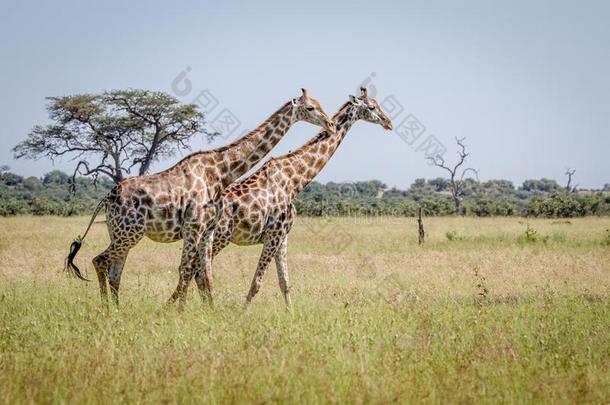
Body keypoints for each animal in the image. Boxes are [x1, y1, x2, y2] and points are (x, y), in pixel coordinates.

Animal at [64, 87, 334, 306]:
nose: (330, 125)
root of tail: (107, 198)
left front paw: (209, 313)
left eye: (320, 102)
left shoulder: (208, 230)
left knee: (115, 272)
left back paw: (117, 310)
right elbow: (186, 269)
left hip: (123, 234)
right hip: (129, 233)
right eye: (310, 107)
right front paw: (179, 312)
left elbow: (205, 275)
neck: (220, 171)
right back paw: (107, 310)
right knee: (100, 261)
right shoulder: (194, 226)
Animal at [183, 87, 390, 304]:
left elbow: (284, 283)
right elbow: (257, 283)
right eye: (371, 106)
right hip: (220, 237)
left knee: (196, 272)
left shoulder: (283, 236)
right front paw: (243, 311)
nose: (388, 122)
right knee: (196, 271)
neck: (294, 180)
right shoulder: (274, 234)